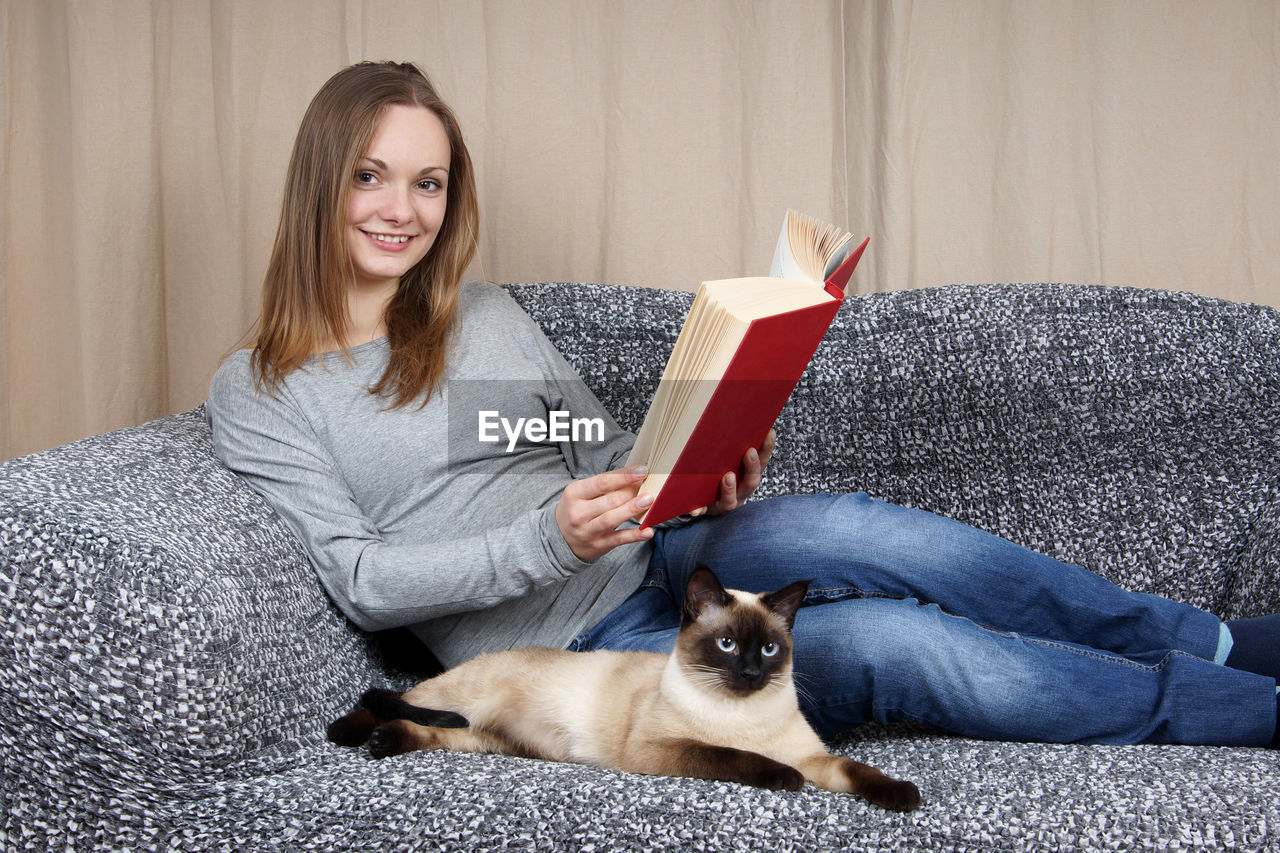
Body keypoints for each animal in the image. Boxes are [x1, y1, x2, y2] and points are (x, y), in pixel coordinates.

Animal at [332, 563, 921, 809]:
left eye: (771, 650)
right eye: (728, 645)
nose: (752, 674)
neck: (741, 713)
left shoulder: (814, 757)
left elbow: (859, 771)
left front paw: (902, 796)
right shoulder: (663, 750)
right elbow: (736, 758)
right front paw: (781, 779)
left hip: (482, 739)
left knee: (426, 730)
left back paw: (385, 742)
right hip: (456, 700)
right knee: (391, 702)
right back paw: (351, 735)